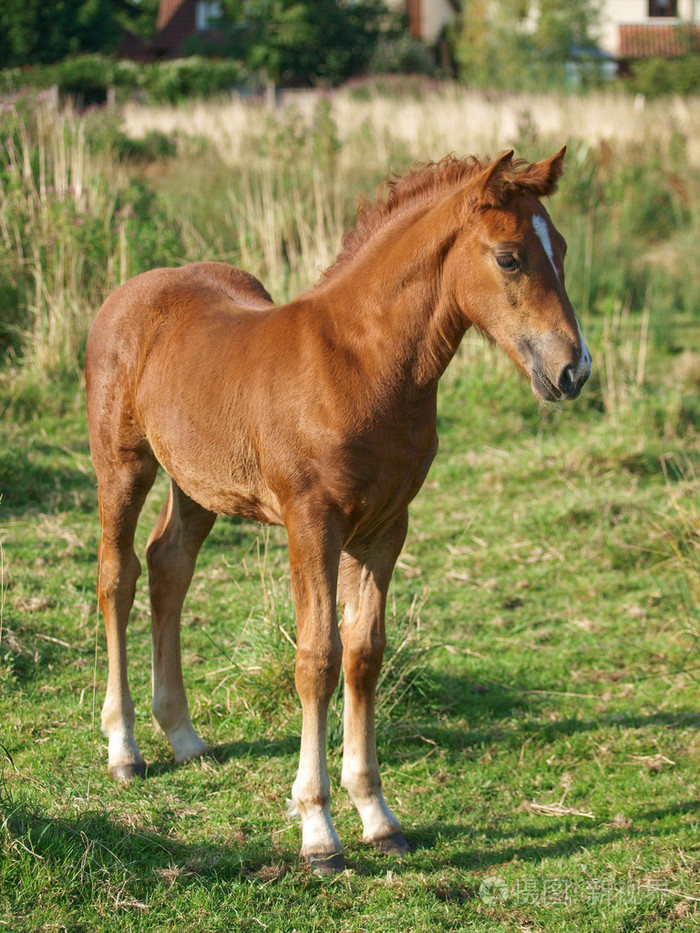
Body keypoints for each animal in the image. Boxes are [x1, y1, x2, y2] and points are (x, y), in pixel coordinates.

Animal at [85, 147, 591, 874]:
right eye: (509, 258)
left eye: (564, 250)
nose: (573, 371)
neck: (360, 364)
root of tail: (130, 291)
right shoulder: (312, 525)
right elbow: (317, 660)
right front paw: (318, 829)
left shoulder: (385, 528)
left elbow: (364, 655)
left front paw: (378, 816)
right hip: (122, 464)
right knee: (117, 576)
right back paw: (124, 747)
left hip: (198, 484)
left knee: (168, 567)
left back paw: (183, 734)